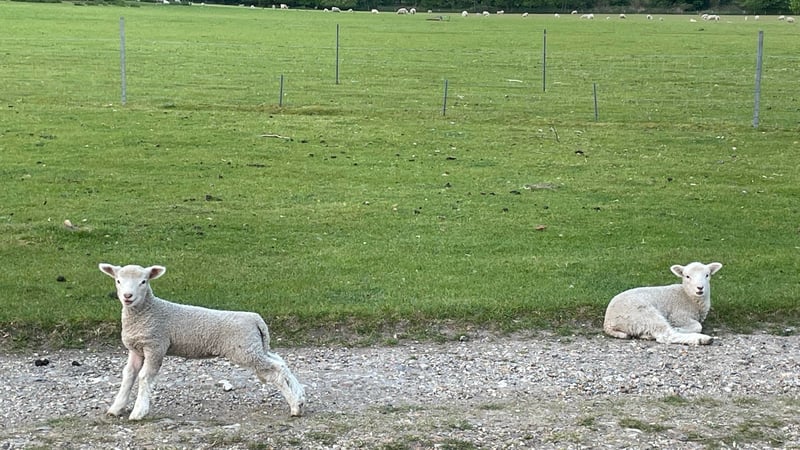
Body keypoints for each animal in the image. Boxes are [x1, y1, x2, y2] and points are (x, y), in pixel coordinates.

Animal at [99, 263, 306, 420]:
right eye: (118, 280)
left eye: (143, 281)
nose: (128, 296)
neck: (147, 312)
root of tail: (256, 319)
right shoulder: (136, 349)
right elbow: (128, 375)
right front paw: (116, 408)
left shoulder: (155, 346)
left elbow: (143, 377)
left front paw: (138, 412)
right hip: (255, 347)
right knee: (280, 362)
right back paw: (300, 396)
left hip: (245, 351)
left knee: (276, 370)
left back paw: (295, 406)